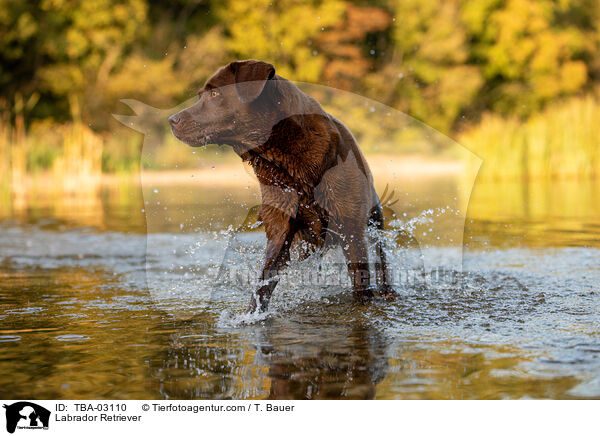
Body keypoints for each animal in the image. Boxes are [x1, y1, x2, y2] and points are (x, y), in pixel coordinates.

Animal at [169, 59, 396, 312]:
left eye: (214, 93)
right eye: (201, 95)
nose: (172, 120)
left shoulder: (351, 227)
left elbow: (360, 280)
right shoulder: (281, 225)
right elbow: (263, 283)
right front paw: (251, 314)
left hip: (374, 216)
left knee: (380, 255)